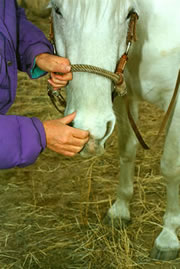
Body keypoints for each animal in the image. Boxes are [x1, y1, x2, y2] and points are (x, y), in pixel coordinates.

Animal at [50, 0, 180, 260]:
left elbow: (171, 167)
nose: (89, 131)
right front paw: (120, 211)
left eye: (130, 14)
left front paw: (168, 237)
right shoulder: (123, 95)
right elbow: (127, 151)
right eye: (57, 10)